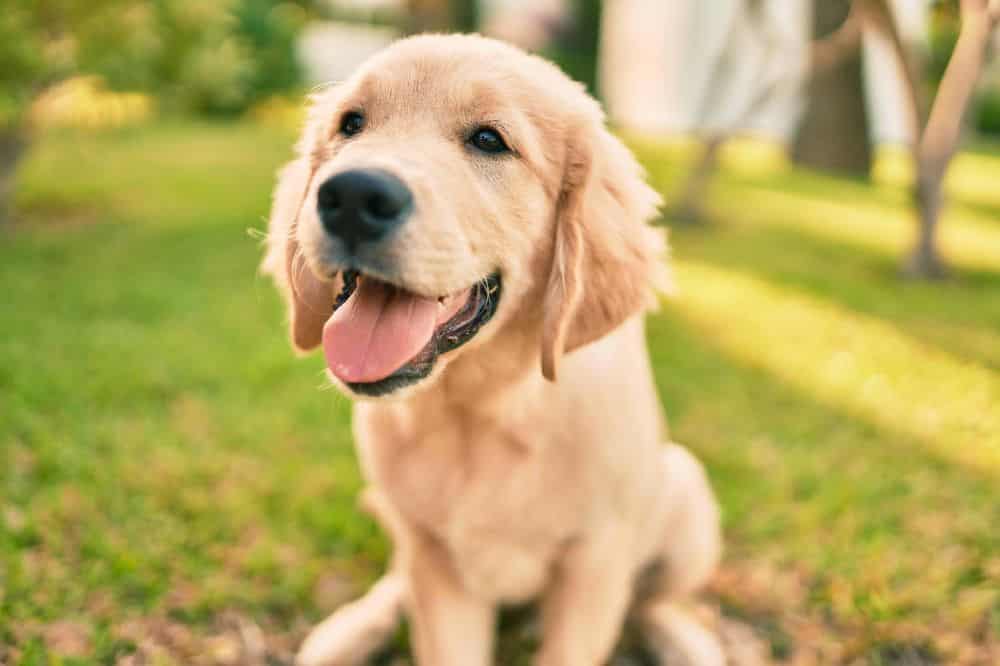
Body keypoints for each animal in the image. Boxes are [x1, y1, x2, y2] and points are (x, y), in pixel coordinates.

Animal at [262, 35, 724, 664]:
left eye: (489, 140)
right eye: (351, 124)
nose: (352, 195)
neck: (481, 409)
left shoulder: (594, 562)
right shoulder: (436, 561)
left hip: (686, 500)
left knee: (651, 600)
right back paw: (352, 630)